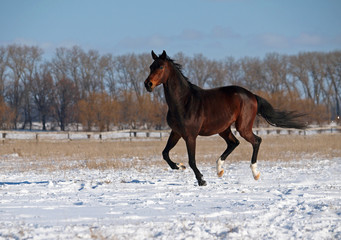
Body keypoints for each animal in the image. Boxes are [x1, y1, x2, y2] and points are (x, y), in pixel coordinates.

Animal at [143, 50, 306, 186]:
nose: (148, 84)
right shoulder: (176, 132)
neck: (184, 102)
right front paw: (179, 166)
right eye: (151, 66)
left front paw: (201, 180)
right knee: (234, 143)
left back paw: (255, 173)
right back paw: (219, 169)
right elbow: (165, 153)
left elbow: (192, 160)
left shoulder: (190, 136)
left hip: (243, 127)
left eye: (161, 67)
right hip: (224, 129)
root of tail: (252, 95)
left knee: (256, 141)